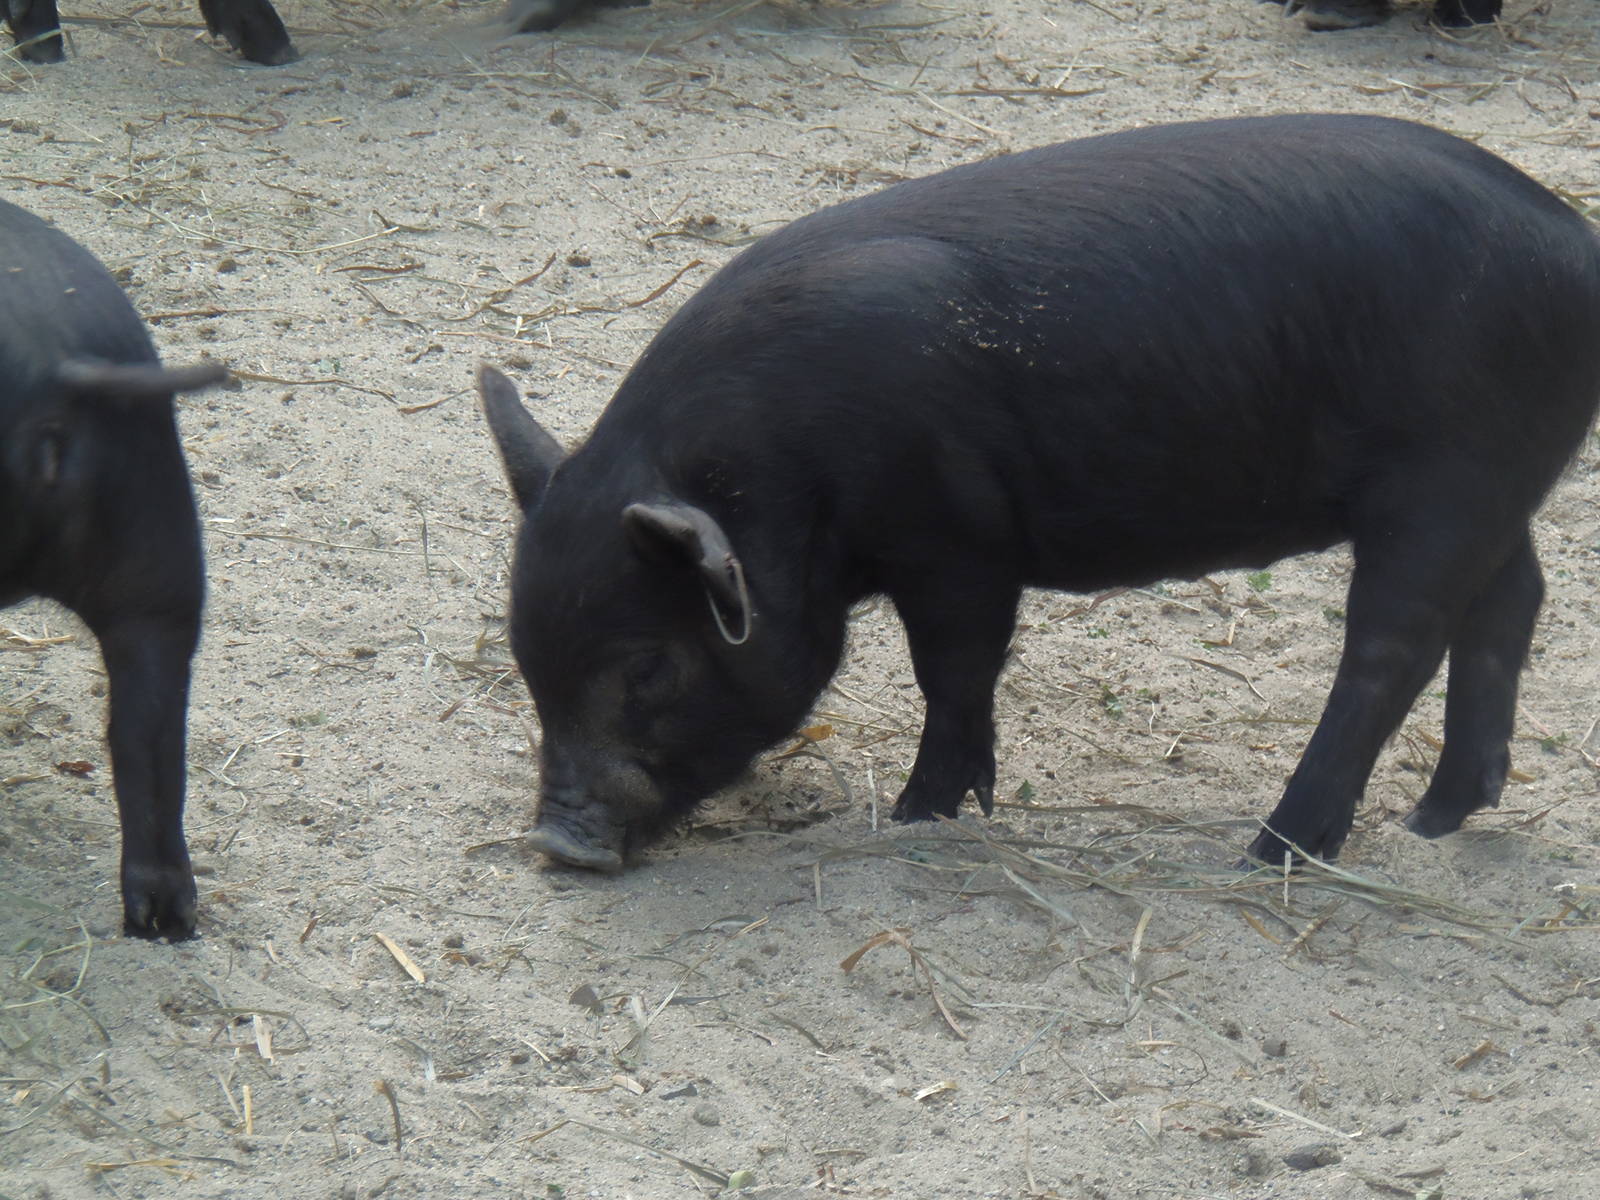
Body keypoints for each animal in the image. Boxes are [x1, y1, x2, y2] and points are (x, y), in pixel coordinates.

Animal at [480, 113, 1600, 874]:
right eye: (525, 658)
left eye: (647, 667)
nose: (558, 844)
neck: (781, 477)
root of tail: (1575, 241)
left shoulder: (955, 540)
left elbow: (954, 670)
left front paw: (919, 816)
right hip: (1493, 484)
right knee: (1509, 601)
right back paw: (1434, 819)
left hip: (1447, 476)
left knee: (1393, 645)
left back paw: (1272, 850)